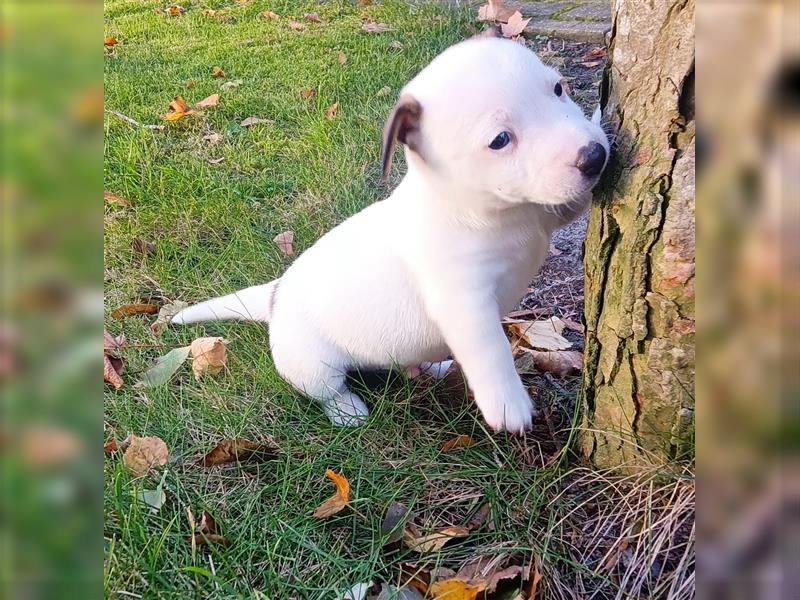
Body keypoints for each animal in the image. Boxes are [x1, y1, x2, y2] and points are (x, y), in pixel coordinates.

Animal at [172, 32, 608, 434]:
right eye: (500, 140)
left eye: (558, 88)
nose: (595, 156)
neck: (494, 214)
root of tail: (276, 294)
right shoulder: (463, 303)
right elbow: (490, 348)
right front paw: (507, 403)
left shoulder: (545, 215)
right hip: (312, 365)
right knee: (327, 391)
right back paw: (347, 410)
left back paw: (433, 366)